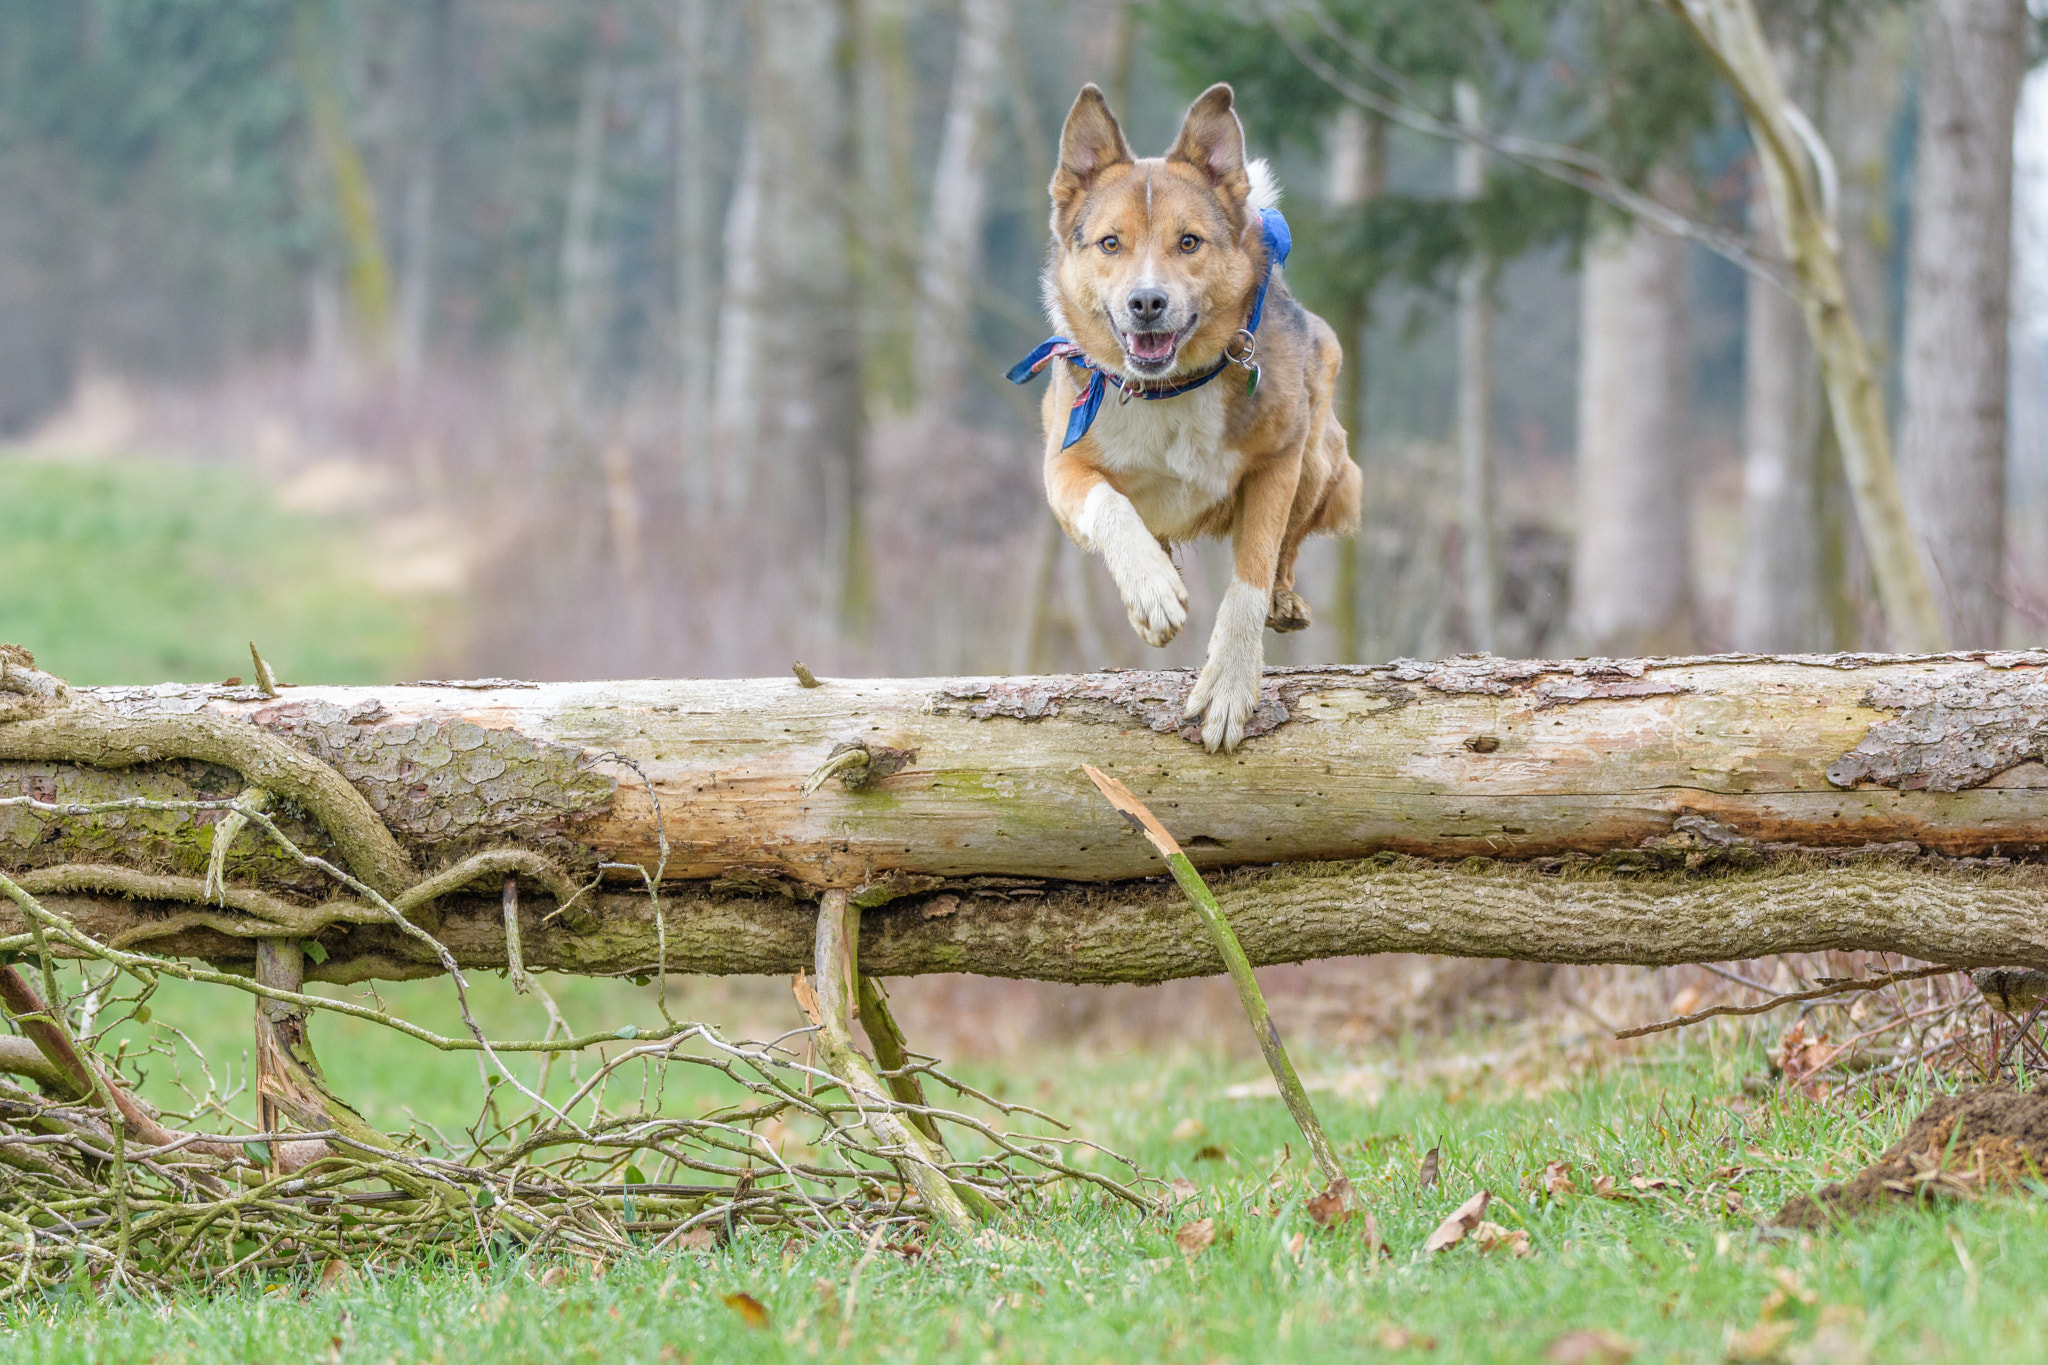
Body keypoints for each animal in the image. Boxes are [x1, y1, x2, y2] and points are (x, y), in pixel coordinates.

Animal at [1011, 82, 1359, 757]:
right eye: (1111, 243)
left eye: (1189, 242)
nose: (1147, 302)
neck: (1166, 390)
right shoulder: (1063, 468)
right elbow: (1110, 505)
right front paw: (1151, 590)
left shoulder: (1279, 462)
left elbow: (1251, 571)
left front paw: (1229, 684)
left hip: (1321, 455)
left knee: (1288, 549)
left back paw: (1283, 600)